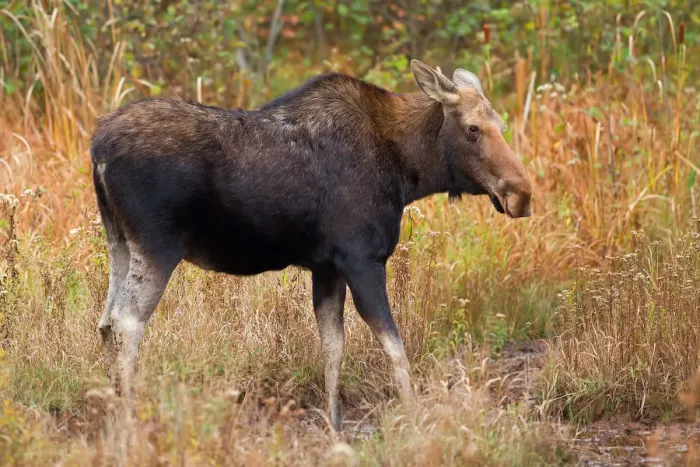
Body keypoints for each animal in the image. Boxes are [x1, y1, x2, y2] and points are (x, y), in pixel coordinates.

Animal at [91, 60, 532, 432]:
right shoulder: (362, 257)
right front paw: (414, 416)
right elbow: (393, 344)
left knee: (106, 321)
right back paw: (129, 419)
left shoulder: (327, 267)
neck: (408, 171)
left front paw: (334, 425)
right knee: (127, 322)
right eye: (473, 128)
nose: (522, 194)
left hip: (119, 241)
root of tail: (97, 150)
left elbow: (333, 346)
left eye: (500, 124)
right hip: (158, 245)